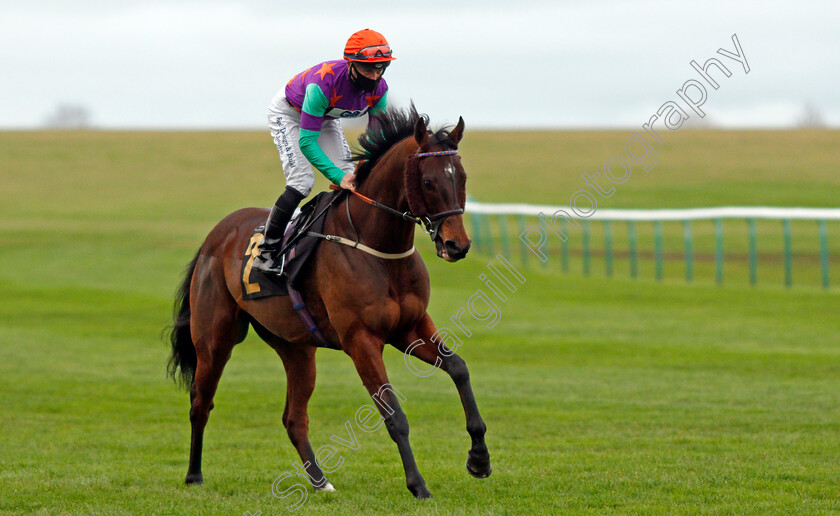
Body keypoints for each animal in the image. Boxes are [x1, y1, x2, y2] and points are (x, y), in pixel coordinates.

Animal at [167, 106, 488, 500]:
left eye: (462, 177)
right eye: (428, 182)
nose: (457, 245)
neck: (378, 247)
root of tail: (217, 233)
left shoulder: (411, 327)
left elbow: (459, 368)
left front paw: (479, 459)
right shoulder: (361, 340)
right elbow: (394, 415)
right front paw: (418, 484)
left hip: (296, 348)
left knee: (294, 418)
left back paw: (320, 481)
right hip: (215, 340)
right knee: (201, 403)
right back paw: (194, 475)